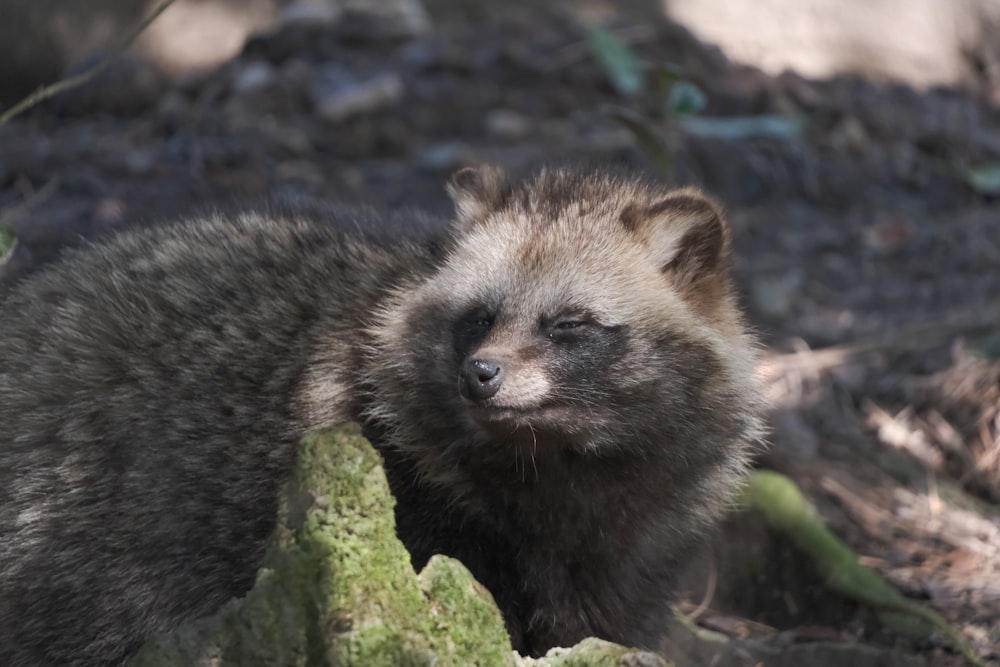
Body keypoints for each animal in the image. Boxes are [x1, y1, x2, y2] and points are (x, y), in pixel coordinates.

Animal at [0, 166, 760, 664]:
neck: (550, 457)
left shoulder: (637, 543)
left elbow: (600, 623)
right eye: (478, 317)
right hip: (80, 543)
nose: (480, 373)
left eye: (569, 324)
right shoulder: (411, 487)